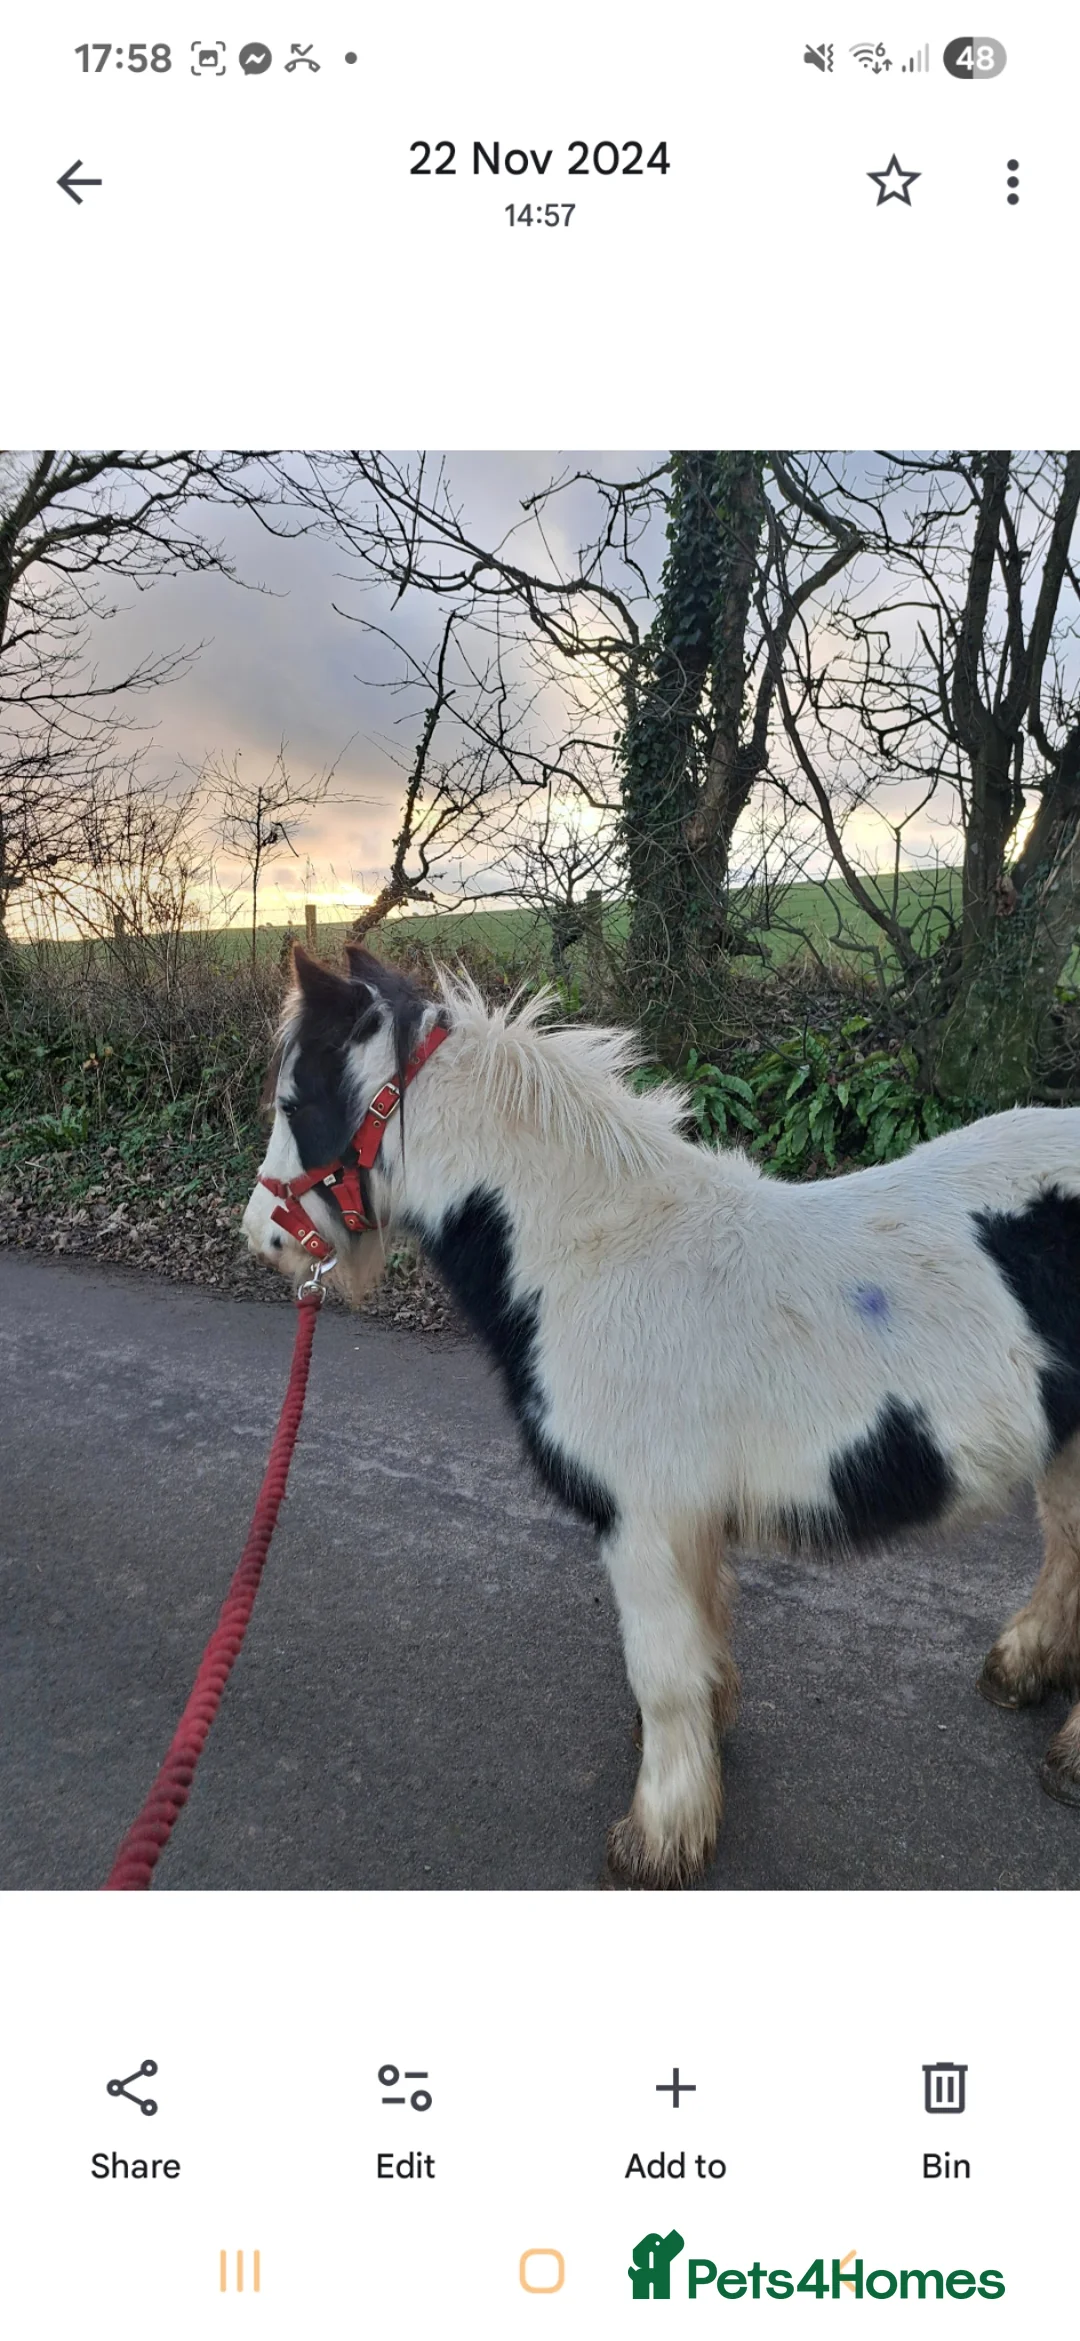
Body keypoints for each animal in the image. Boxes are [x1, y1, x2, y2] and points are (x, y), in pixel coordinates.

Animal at [242, 944, 1080, 1886]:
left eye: (292, 1102)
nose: (261, 1237)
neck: (595, 1258)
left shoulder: (643, 1522)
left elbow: (661, 1672)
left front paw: (659, 1837)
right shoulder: (685, 1525)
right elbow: (700, 1646)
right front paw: (704, 1752)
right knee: (1068, 1545)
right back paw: (1025, 1671)